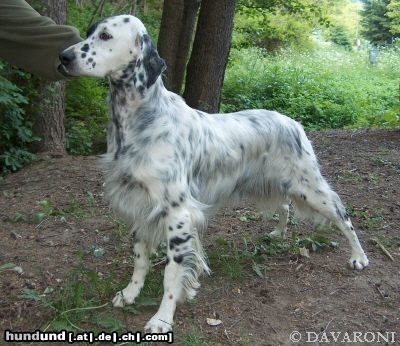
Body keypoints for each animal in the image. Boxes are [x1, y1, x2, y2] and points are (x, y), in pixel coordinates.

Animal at [59, 15, 368, 332]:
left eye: (106, 36)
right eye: (89, 33)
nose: (63, 57)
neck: (140, 120)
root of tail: (293, 122)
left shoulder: (178, 214)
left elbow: (172, 273)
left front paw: (162, 318)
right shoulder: (139, 203)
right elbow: (140, 258)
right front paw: (130, 292)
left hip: (309, 187)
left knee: (342, 215)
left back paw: (358, 257)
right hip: (276, 183)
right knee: (285, 206)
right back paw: (279, 232)